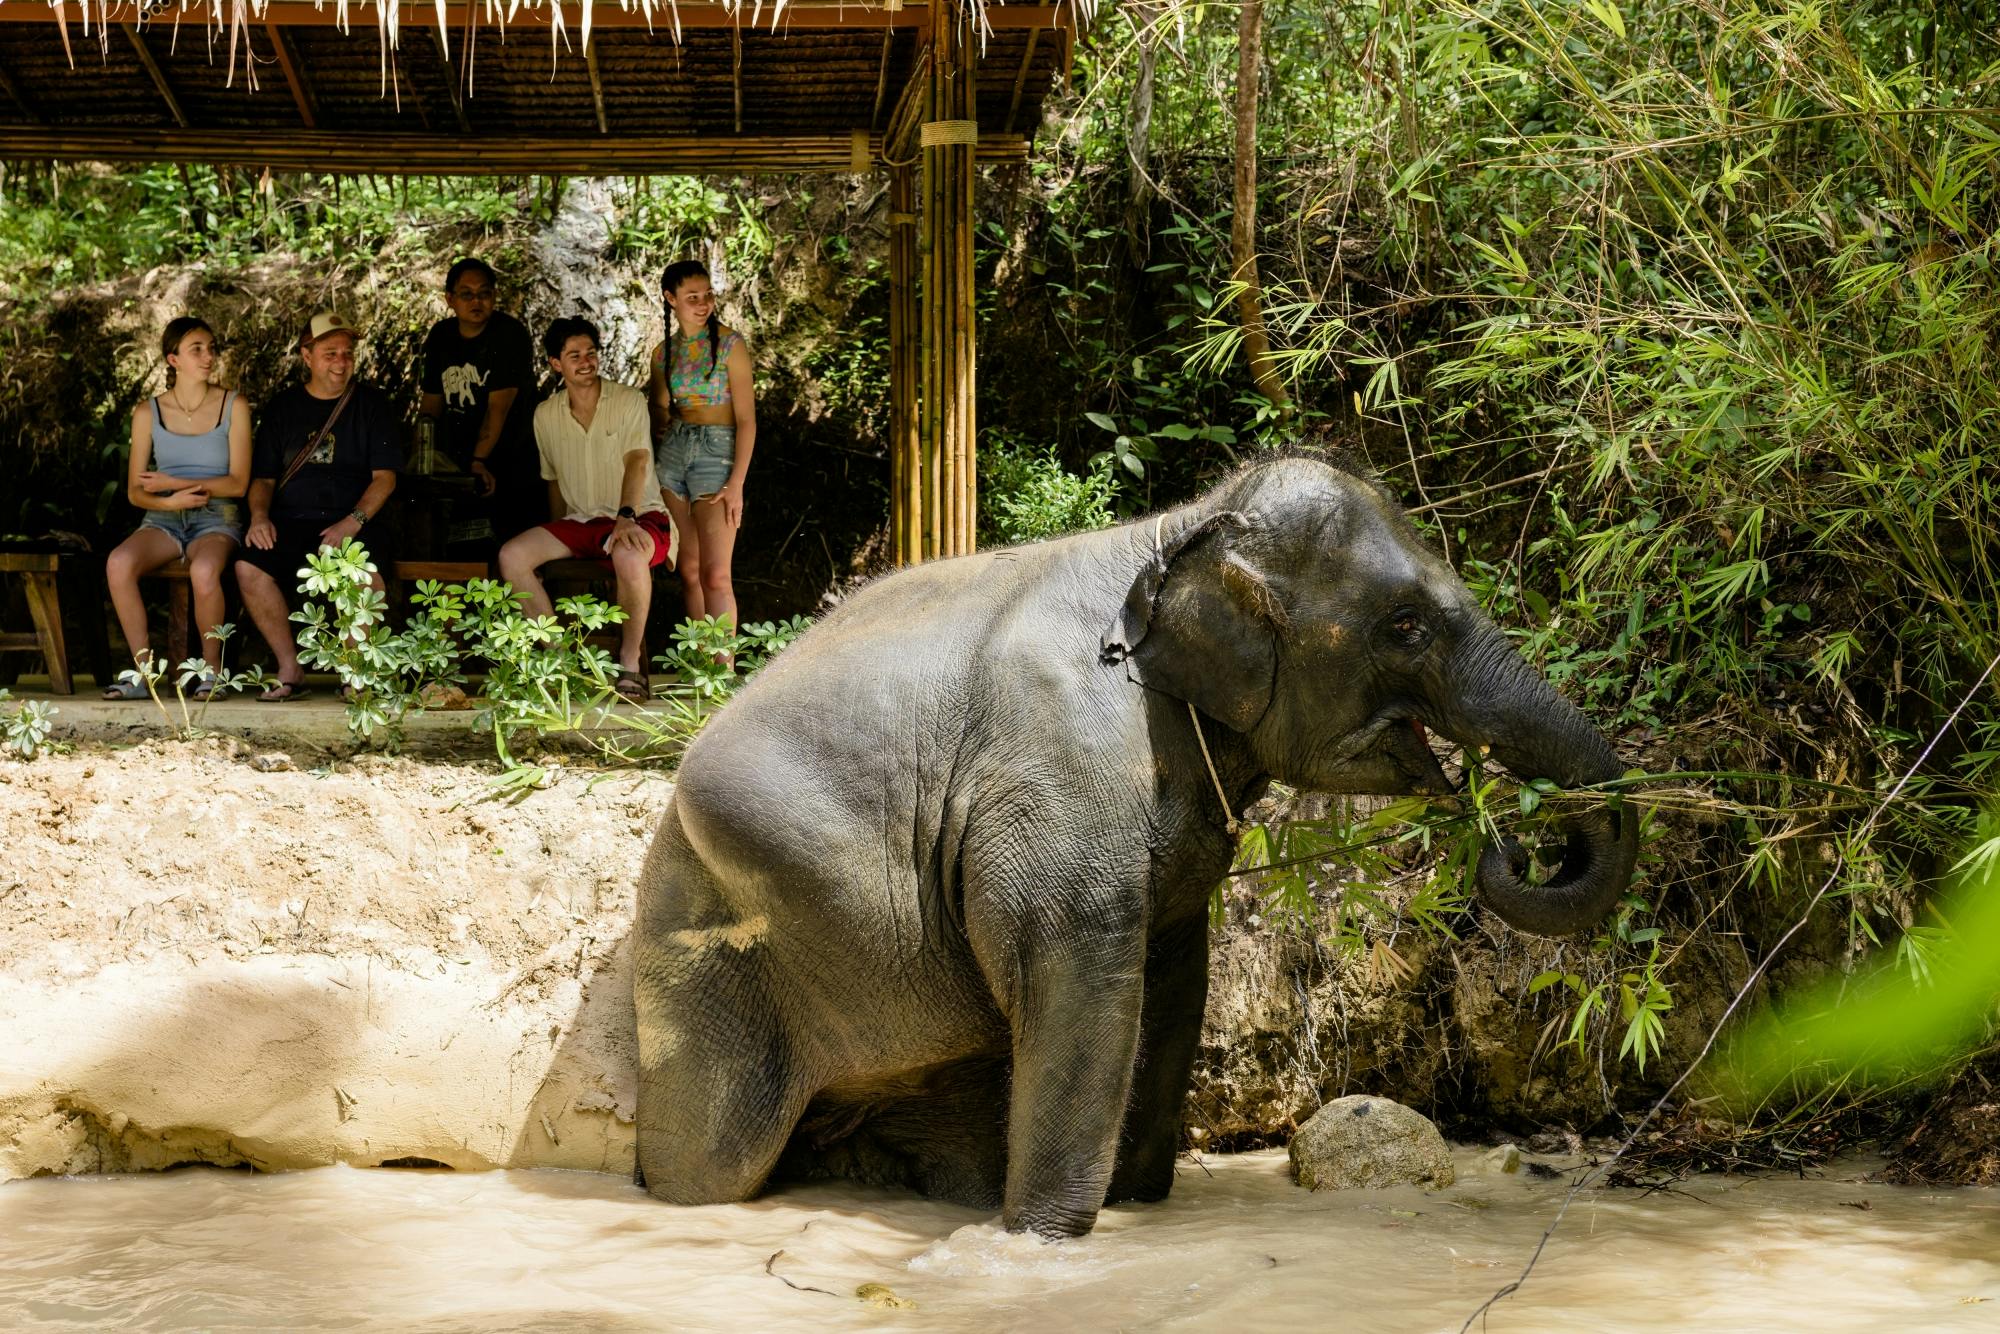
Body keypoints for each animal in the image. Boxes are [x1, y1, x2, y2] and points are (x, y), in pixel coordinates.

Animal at [632, 456, 1637, 1239]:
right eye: (1406, 626)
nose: (1508, 833)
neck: (1180, 528)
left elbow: (1173, 978)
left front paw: (1132, 1211)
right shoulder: (1062, 768)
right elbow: (1082, 979)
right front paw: (1041, 1242)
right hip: (707, 939)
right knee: (711, 1163)